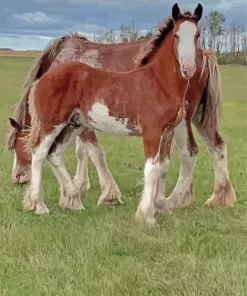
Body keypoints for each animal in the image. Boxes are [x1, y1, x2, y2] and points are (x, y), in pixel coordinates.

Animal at [7, 3, 235, 216]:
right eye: (177, 35)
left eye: (197, 35)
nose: (17, 177)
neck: (156, 80)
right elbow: (93, 153)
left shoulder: (160, 131)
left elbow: (152, 164)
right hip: (60, 123)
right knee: (42, 153)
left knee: (195, 151)